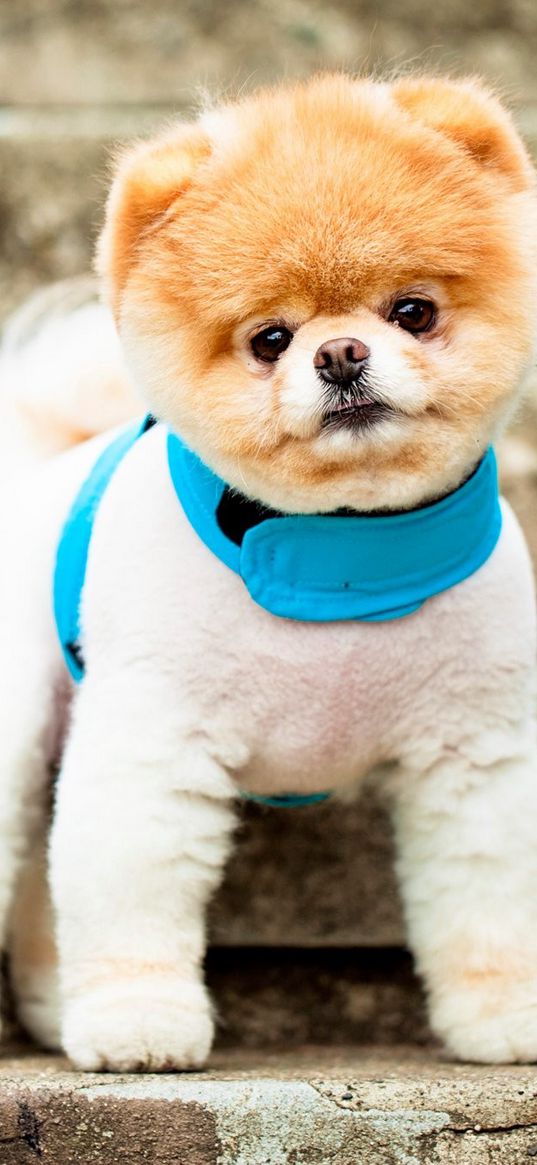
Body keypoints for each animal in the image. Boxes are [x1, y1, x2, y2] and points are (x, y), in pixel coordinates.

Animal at [1, 75, 535, 1071]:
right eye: (269, 339)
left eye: (412, 311)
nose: (340, 354)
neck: (345, 557)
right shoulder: (154, 737)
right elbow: (129, 886)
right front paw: (138, 1018)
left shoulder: (474, 754)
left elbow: (489, 899)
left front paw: (507, 1013)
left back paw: (55, 1005)